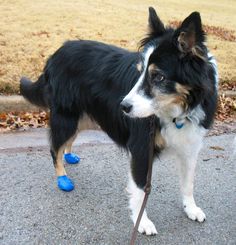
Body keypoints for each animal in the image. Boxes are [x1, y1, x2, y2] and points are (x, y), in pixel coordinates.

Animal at [20, 7, 218, 235]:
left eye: (158, 77)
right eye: (139, 71)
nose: (123, 107)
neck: (177, 110)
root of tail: (56, 53)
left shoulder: (190, 146)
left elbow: (188, 184)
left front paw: (191, 208)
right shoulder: (141, 148)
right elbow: (140, 190)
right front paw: (142, 222)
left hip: (83, 117)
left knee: (68, 141)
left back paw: (69, 156)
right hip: (66, 116)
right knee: (55, 148)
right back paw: (62, 177)